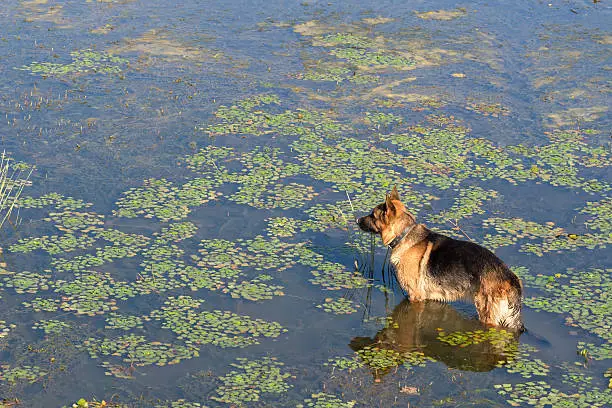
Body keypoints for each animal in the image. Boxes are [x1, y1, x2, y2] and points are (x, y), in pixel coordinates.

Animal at [356, 188, 524, 332]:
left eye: (372, 215)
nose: (357, 220)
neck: (404, 234)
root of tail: (511, 277)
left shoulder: (414, 297)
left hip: (487, 313)